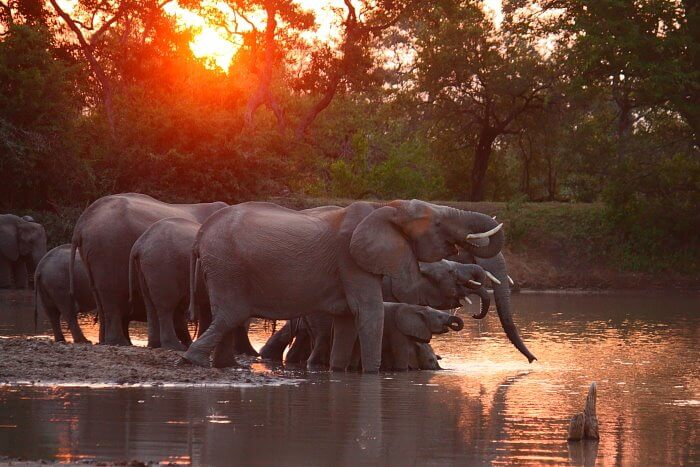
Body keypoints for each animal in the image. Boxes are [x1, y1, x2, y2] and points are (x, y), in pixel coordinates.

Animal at [70, 192, 227, 346]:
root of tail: (81, 224)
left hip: (93, 254)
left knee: (98, 293)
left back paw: (107, 341)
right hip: (108, 248)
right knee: (112, 293)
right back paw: (120, 342)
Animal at [183, 200, 506, 372]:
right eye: (437, 224)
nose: (475, 314)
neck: (383, 210)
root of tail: (200, 235)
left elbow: (349, 320)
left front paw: (338, 371)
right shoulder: (352, 261)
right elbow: (371, 313)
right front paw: (373, 374)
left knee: (227, 318)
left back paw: (227, 366)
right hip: (228, 267)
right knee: (231, 314)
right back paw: (194, 360)